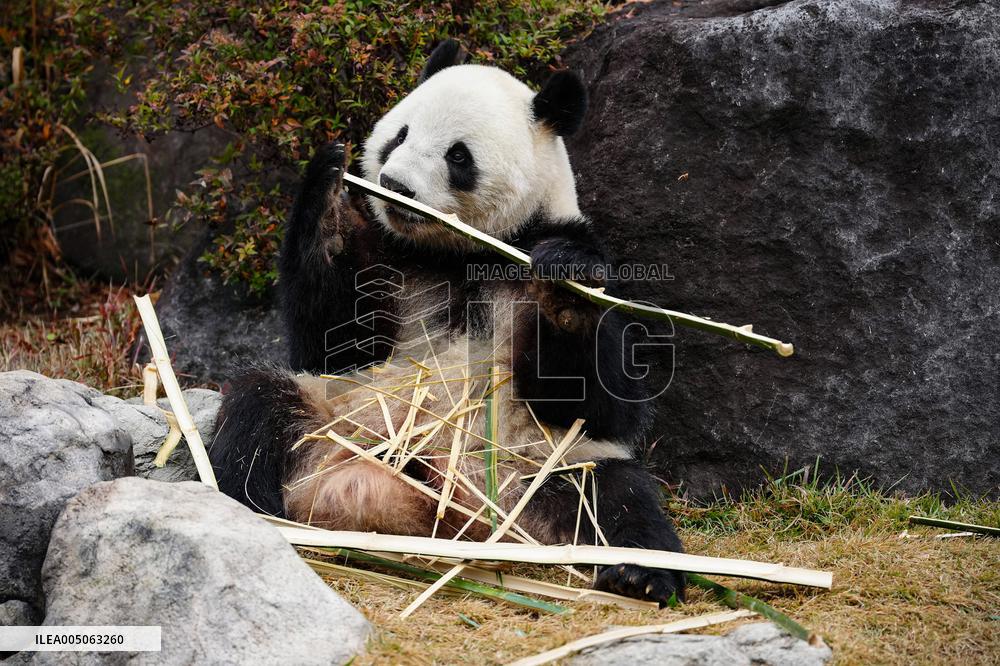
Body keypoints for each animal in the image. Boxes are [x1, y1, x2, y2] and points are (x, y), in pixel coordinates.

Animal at [210, 40, 686, 605]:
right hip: (333, 420)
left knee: (617, 498)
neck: (456, 252)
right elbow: (334, 343)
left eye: (458, 155)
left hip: (542, 468)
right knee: (256, 413)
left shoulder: (551, 249)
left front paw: (563, 287)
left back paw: (639, 575)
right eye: (400, 134)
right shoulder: (389, 258)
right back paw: (257, 516)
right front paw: (330, 184)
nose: (394, 185)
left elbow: (604, 404)